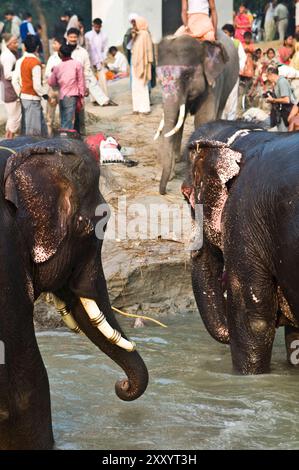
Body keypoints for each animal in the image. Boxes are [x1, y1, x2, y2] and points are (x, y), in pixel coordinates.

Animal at [156, 31, 240, 196]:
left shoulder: (214, 83)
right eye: (159, 80)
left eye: (187, 76)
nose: (163, 192)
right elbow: (177, 121)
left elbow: (203, 120)